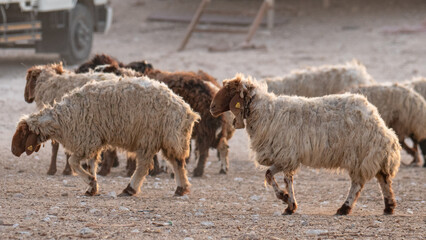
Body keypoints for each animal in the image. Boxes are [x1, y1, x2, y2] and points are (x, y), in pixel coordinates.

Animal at [12, 77, 200, 197]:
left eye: (22, 133)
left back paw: (129, 189)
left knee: (144, 166)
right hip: (169, 138)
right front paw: (92, 187)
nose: (13, 151)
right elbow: (92, 164)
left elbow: (73, 162)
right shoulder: (94, 142)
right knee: (177, 162)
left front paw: (90, 181)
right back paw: (181, 188)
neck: (62, 119)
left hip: (150, 137)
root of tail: (186, 111)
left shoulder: (86, 140)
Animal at [211, 73, 402, 216]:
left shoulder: (285, 154)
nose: (212, 107)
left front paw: (286, 200)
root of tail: (377, 119)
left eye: (229, 91)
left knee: (358, 183)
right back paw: (389, 206)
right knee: (383, 177)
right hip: (371, 154)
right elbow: (272, 175)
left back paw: (345, 208)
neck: (266, 112)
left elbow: (281, 179)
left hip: (361, 153)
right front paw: (288, 203)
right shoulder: (284, 156)